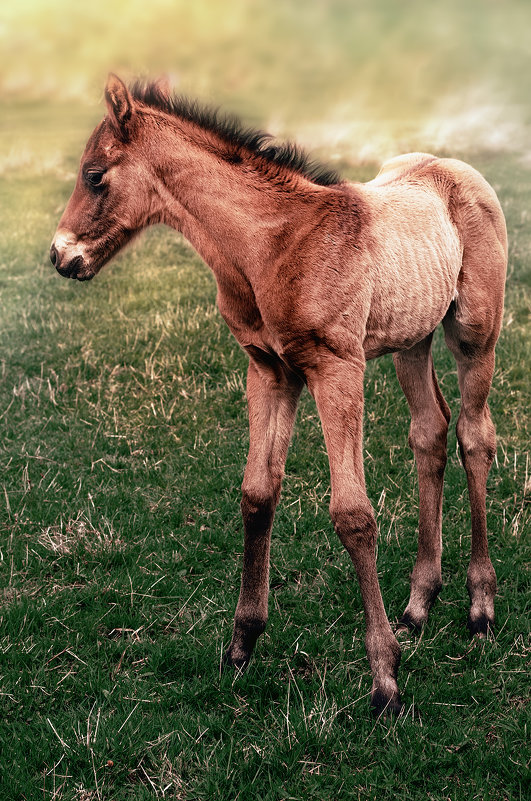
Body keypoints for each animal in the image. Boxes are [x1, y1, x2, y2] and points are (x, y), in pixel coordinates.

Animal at [51, 75, 512, 712]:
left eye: (94, 174)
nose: (58, 255)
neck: (272, 247)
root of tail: (459, 169)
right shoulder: (270, 370)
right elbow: (257, 493)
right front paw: (242, 644)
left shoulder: (337, 369)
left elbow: (353, 516)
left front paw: (385, 679)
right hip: (410, 339)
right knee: (430, 433)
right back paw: (418, 606)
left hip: (474, 334)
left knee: (474, 435)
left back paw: (479, 607)